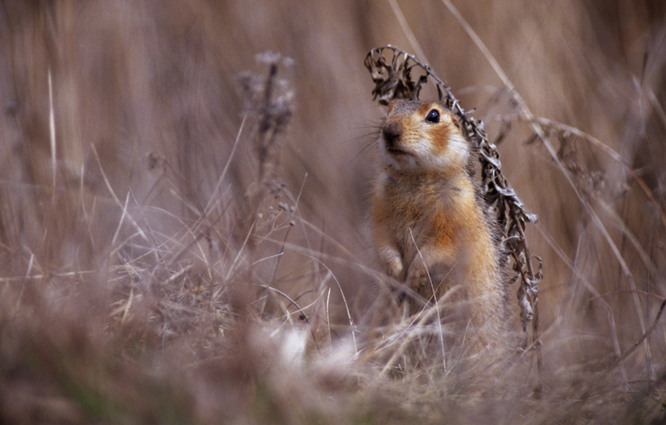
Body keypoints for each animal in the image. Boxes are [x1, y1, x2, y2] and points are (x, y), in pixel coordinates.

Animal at [368, 99, 504, 348]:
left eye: (433, 115)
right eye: (389, 109)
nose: (389, 131)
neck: (415, 177)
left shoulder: (457, 212)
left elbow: (440, 248)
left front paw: (414, 274)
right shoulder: (379, 207)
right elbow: (383, 241)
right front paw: (396, 272)